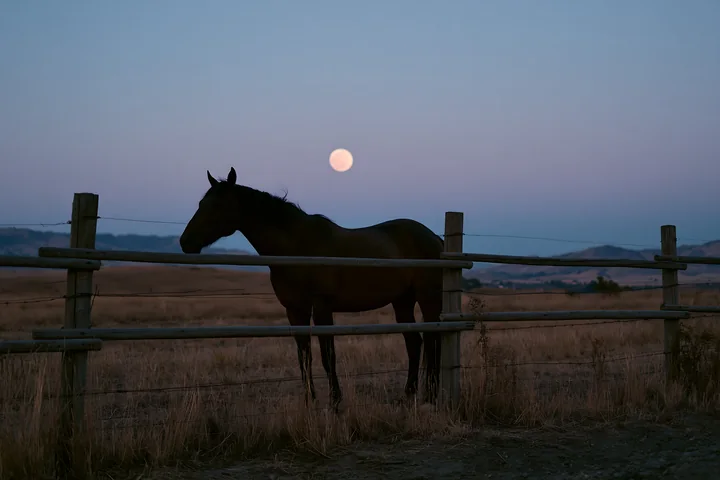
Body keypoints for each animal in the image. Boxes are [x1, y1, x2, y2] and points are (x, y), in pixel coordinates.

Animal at [179, 167, 444, 408]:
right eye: (201, 203)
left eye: (218, 205)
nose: (185, 242)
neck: (297, 248)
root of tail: (436, 238)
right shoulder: (295, 310)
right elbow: (304, 356)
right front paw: (310, 401)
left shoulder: (322, 308)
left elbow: (328, 356)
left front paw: (335, 402)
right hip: (402, 301)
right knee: (415, 343)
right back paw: (409, 394)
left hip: (428, 299)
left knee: (433, 340)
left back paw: (432, 395)